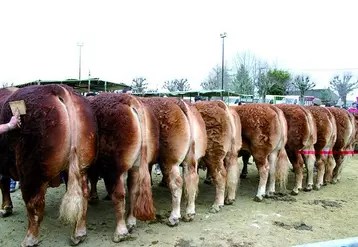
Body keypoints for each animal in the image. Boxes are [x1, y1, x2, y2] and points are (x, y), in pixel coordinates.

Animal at [0, 84, 97, 246]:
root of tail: (57, 87)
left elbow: (3, 183)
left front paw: (5, 208)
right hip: (82, 166)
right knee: (84, 194)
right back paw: (79, 233)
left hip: (31, 172)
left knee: (33, 203)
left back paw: (30, 239)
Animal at [87, 92, 156, 241]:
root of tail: (129, 99)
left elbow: (92, 178)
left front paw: (92, 197)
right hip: (136, 166)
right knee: (133, 190)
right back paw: (131, 221)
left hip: (115, 169)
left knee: (119, 194)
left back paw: (121, 231)